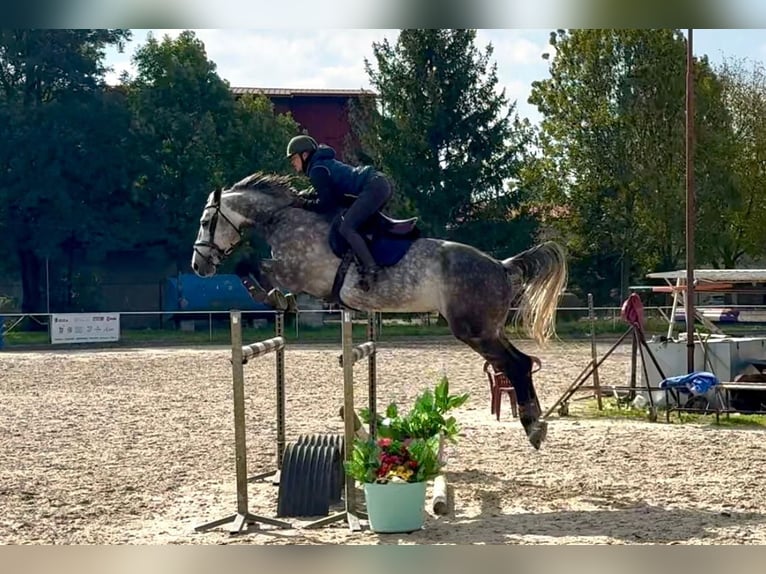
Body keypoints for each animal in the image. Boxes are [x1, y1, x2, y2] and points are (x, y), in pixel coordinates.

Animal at [191, 172, 568, 450]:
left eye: (207, 220)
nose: (198, 266)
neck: (281, 218)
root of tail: (502, 266)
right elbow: (252, 267)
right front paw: (280, 300)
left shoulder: (297, 272)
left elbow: (247, 265)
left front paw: (275, 299)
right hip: (489, 329)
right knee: (520, 362)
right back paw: (536, 422)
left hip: (473, 330)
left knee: (516, 364)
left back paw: (533, 426)